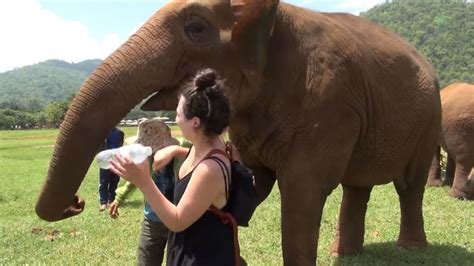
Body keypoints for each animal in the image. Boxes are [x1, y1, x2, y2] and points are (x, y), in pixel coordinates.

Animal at [36, 1, 440, 264]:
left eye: (196, 28)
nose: (77, 203)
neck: (276, 14)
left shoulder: (331, 103)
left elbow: (302, 191)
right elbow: (252, 184)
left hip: (427, 121)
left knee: (409, 185)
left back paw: (410, 248)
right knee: (358, 187)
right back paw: (343, 253)